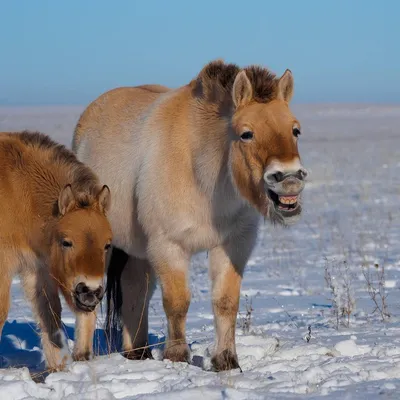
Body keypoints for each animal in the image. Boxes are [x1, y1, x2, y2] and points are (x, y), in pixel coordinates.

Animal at [0, 130, 112, 368]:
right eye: (66, 242)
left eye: (107, 245)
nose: (90, 292)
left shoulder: (37, 270)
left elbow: (50, 316)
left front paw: (60, 368)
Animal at [72, 60, 310, 372]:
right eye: (246, 134)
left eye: (295, 130)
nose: (289, 178)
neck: (200, 173)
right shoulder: (168, 246)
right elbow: (177, 302)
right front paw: (177, 356)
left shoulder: (233, 245)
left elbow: (225, 301)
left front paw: (226, 360)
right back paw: (81, 356)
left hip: (138, 252)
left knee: (135, 290)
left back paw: (138, 352)